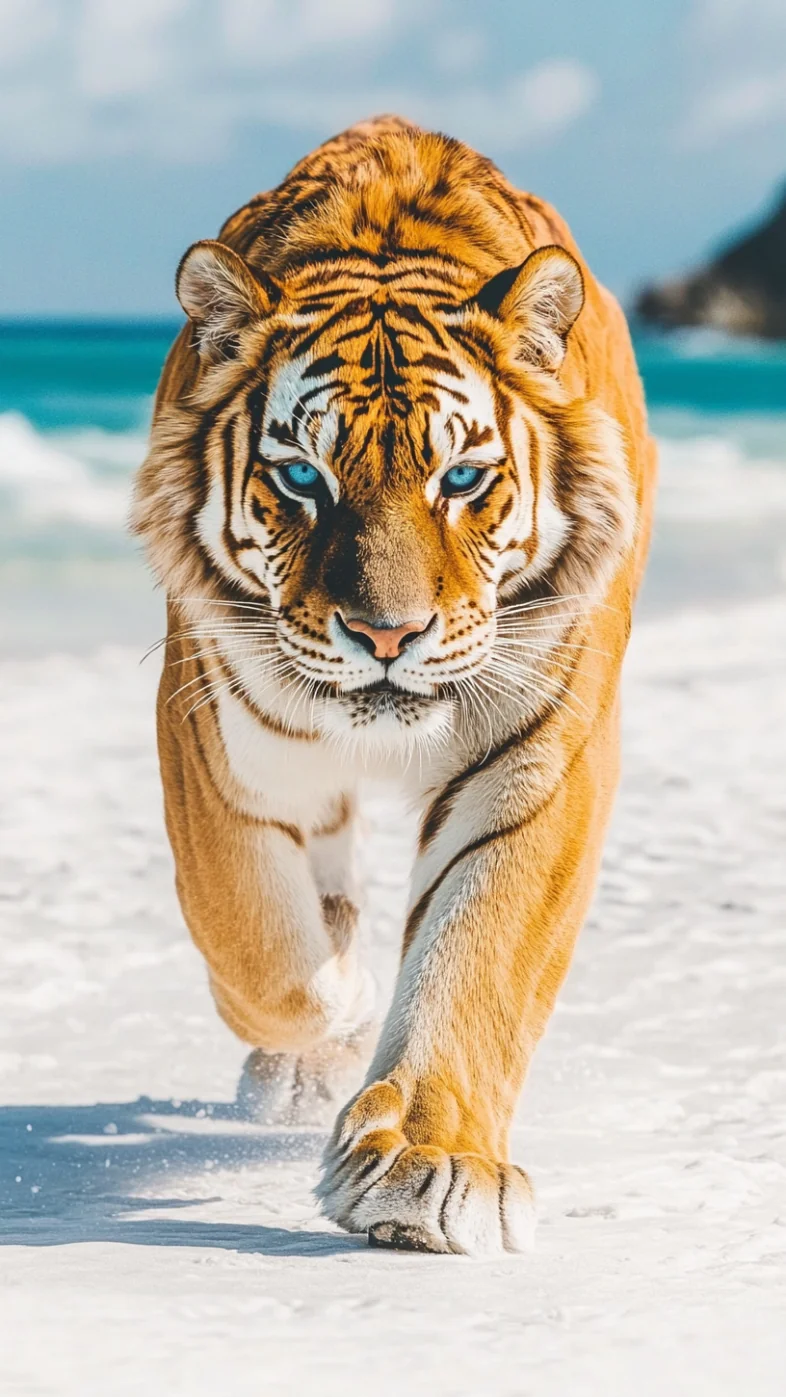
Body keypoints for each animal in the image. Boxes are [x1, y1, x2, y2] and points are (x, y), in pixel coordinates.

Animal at [132, 114, 656, 1256]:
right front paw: (333, 1019)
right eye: (300, 477)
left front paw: (428, 1164)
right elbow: (259, 936)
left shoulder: (541, 754)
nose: (387, 632)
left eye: (459, 479)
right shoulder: (214, 732)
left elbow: (478, 950)